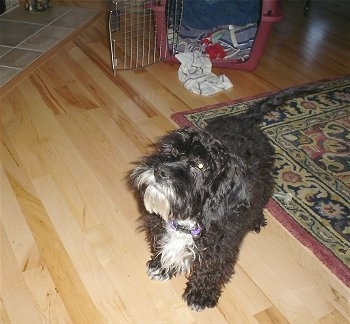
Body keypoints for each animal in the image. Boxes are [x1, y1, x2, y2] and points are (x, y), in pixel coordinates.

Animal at [131, 89, 306, 312]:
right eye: (172, 151)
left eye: (200, 165)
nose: (160, 170)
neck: (188, 221)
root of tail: (245, 121)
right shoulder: (159, 228)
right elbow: (163, 248)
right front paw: (161, 267)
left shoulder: (221, 249)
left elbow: (210, 270)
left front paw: (199, 296)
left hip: (265, 182)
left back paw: (257, 220)